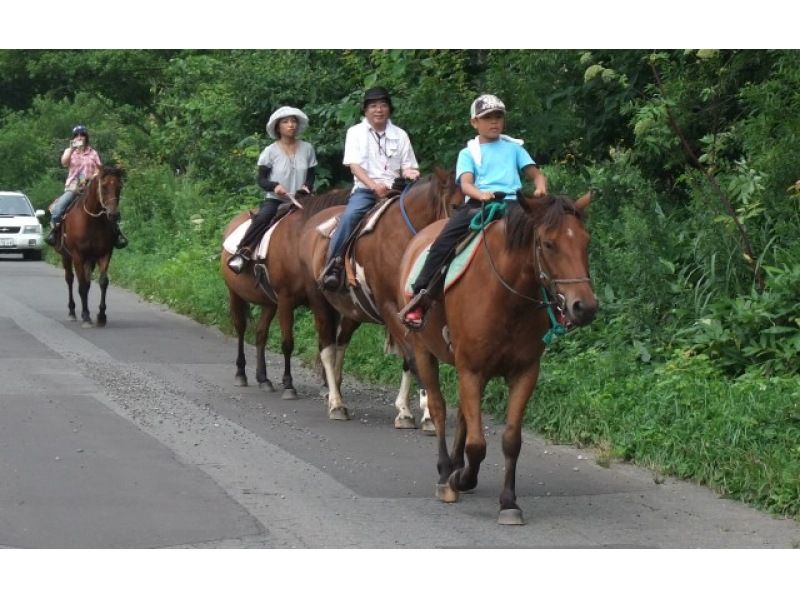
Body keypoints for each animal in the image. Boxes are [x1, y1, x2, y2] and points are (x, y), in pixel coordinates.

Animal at [56, 166, 124, 330]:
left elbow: (102, 282)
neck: (92, 220)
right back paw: (73, 312)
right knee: (70, 279)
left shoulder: (105, 254)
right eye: (104, 186)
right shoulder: (78, 256)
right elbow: (81, 285)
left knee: (86, 283)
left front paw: (101, 316)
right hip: (66, 256)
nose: (114, 215)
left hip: (90, 260)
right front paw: (86, 317)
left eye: (119, 187)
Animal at [222, 190, 354, 400]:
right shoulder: (286, 300)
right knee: (241, 328)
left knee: (261, 333)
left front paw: (328, 386)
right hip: (235, 293)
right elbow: (287, 343)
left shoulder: (325, 305)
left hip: (269, 303)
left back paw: (263, 379)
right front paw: (288, 385)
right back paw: (241, 373)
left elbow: (327, 342)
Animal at [298, 170, 462, 426]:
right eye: (455, 205)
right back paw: (336, 404)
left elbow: (412, 361)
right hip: (320, 303)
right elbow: (413, 358)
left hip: (351, 311)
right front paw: (418, 414)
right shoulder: (389, 308)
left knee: (340, 344)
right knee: (327, 349)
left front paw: (415, 410)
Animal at [396, 192, 596, 524]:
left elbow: (511, 440)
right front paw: (460, 479)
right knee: (438, 408)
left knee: (464, 415)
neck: (509, 297)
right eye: (548, 243)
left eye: (585, 241)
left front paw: (508, 502)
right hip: (424, 350)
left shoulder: (524, 372)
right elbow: (477, 444)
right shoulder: (471, 370)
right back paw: (446, 474)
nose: (585, 307)